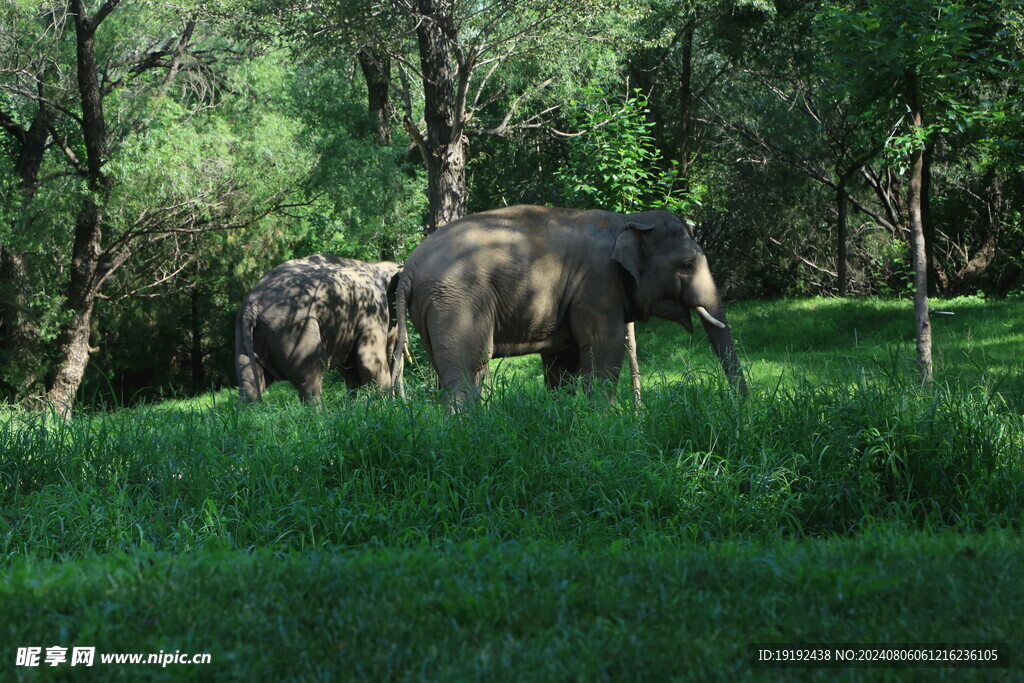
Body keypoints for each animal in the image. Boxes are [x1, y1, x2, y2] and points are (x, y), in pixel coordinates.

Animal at [235, 255, 399, 405]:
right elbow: (368, 363)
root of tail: (252, 306)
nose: (399, 400)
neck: (376, 266)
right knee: (312, 374)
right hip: (294, 331)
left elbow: (349, 368)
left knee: (250, 381)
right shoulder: (373, 309)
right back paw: (318, 413)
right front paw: (384, 406)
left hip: (246, 336)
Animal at [391, 205, 745, 403]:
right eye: (686, 265)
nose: (739, 407)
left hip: (434, 305)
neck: (627, 220)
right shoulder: (598, 283)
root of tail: (409, 268)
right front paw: (602, 422)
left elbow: (563, 359)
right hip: (457, 299)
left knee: (450, 368)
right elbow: (604, 345)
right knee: (467, 366)